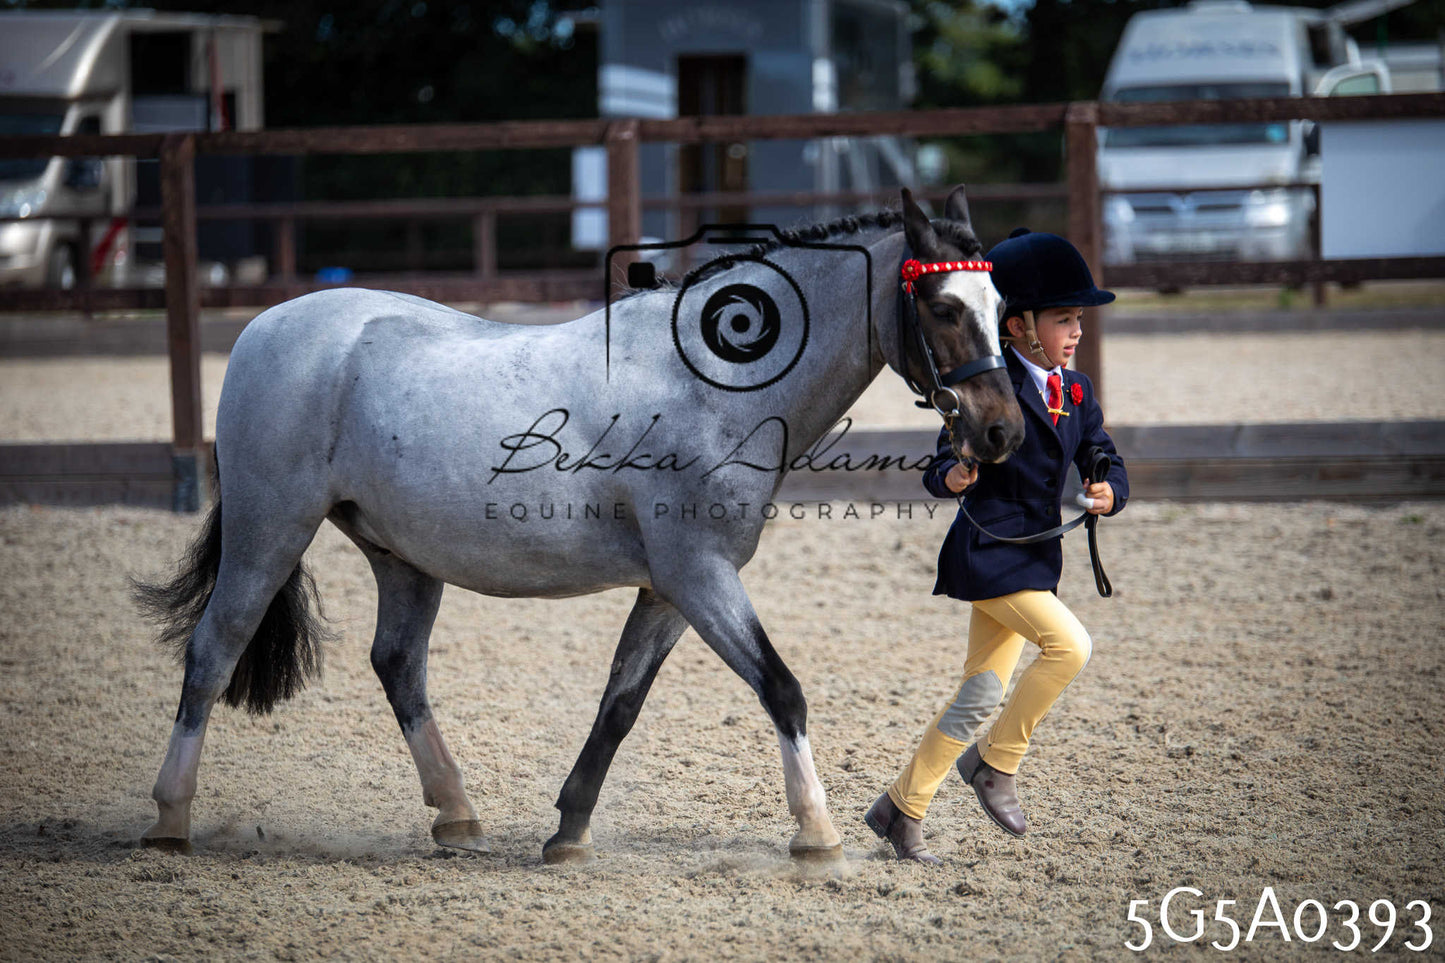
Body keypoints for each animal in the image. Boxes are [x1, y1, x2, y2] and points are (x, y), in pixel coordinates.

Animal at [134, 186, 1025, 863]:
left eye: (1000, 305)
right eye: (943, 305)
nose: (1001, 432)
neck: (713, 385)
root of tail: (264, 329)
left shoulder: (670, 590)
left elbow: (619, 704)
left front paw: (568, 831)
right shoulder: (700, 576)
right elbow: (781, 688)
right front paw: (816, 832)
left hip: (400, 556)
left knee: (398, 666)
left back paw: (456, 815)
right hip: (270, 529)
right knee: (213, 651)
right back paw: (170, 818)